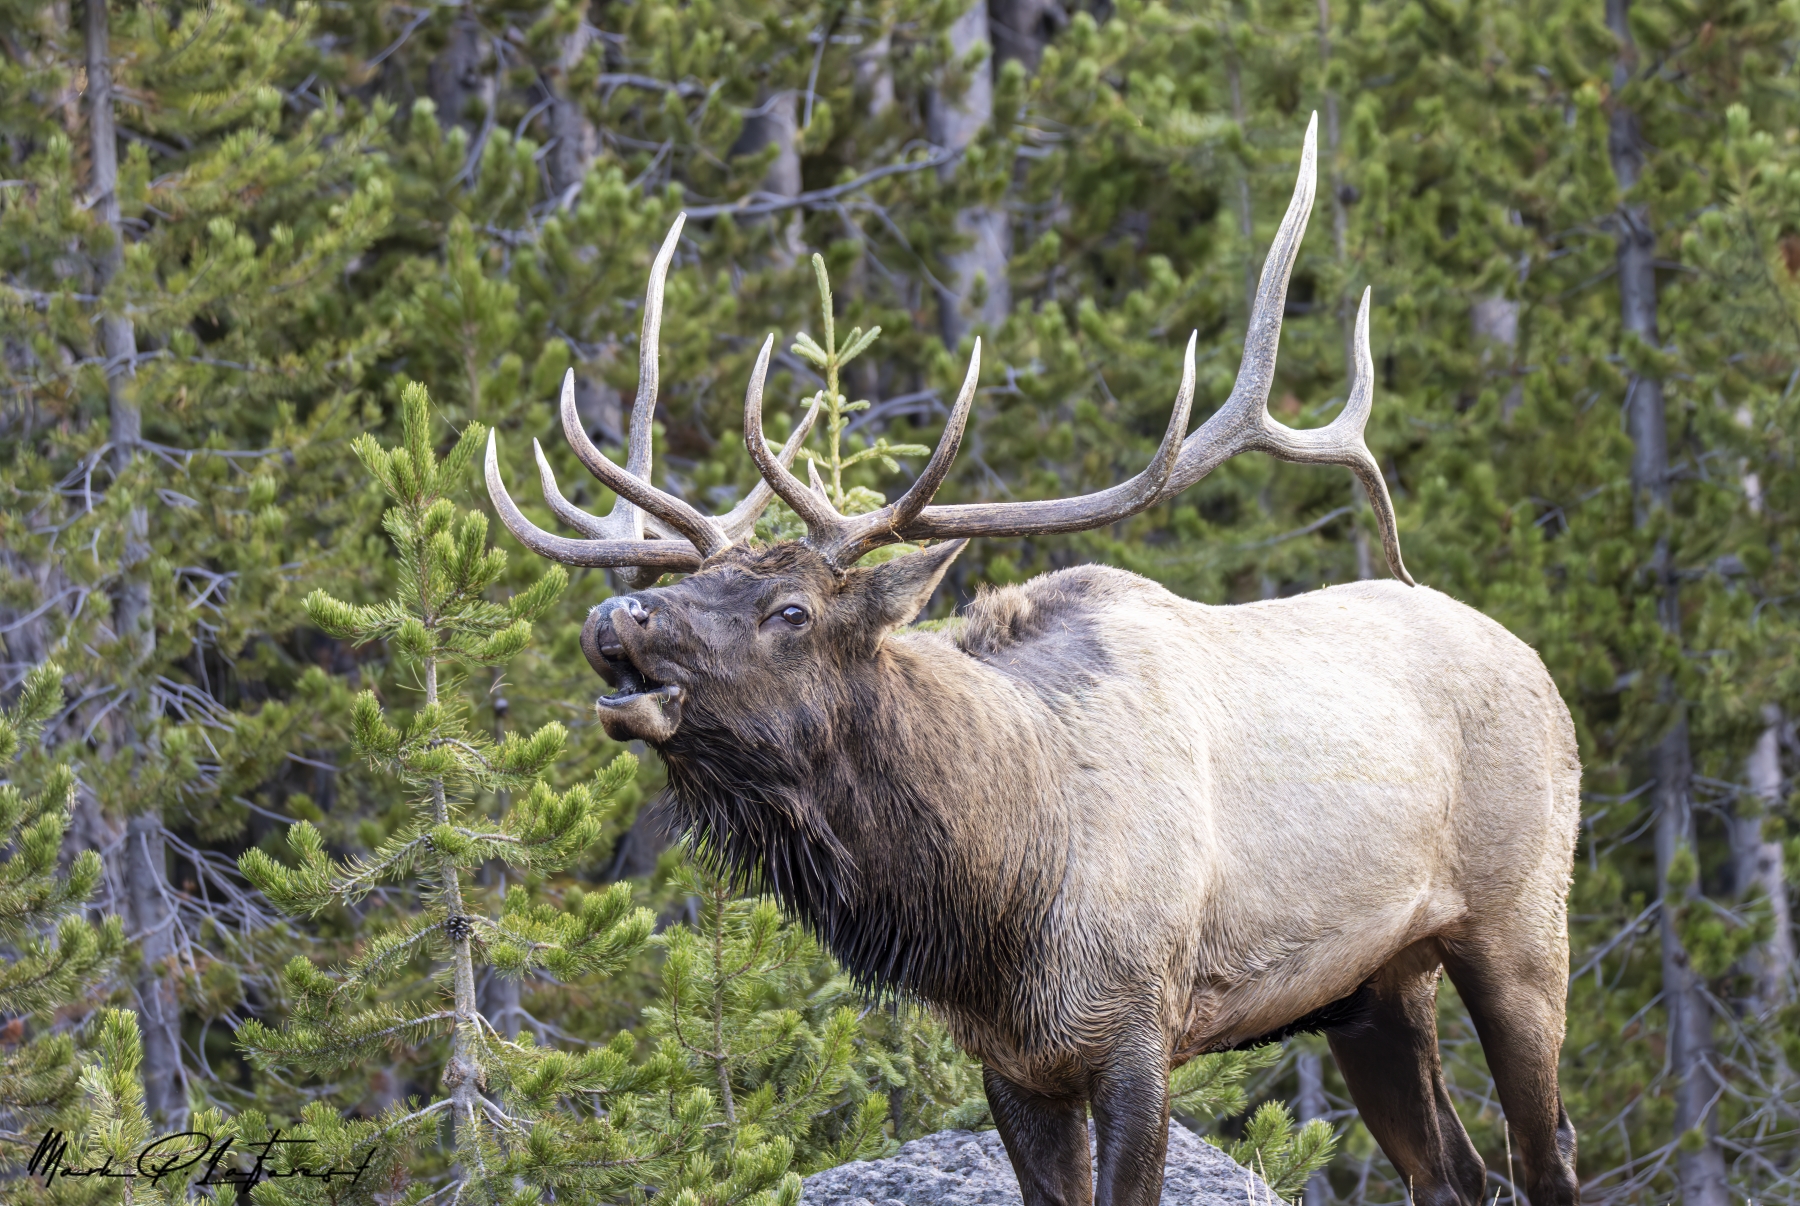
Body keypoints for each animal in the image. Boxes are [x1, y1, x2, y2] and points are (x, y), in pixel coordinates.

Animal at [489, 116, 1576, 1206]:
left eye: (789, 610)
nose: (615, 614)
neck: (996, 899)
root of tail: (1538, 664)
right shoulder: (1010, 1064)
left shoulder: (1138, 1030)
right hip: (1374, 985)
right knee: (1455, 1171)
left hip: (1521, 918)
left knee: (1544, 1150)